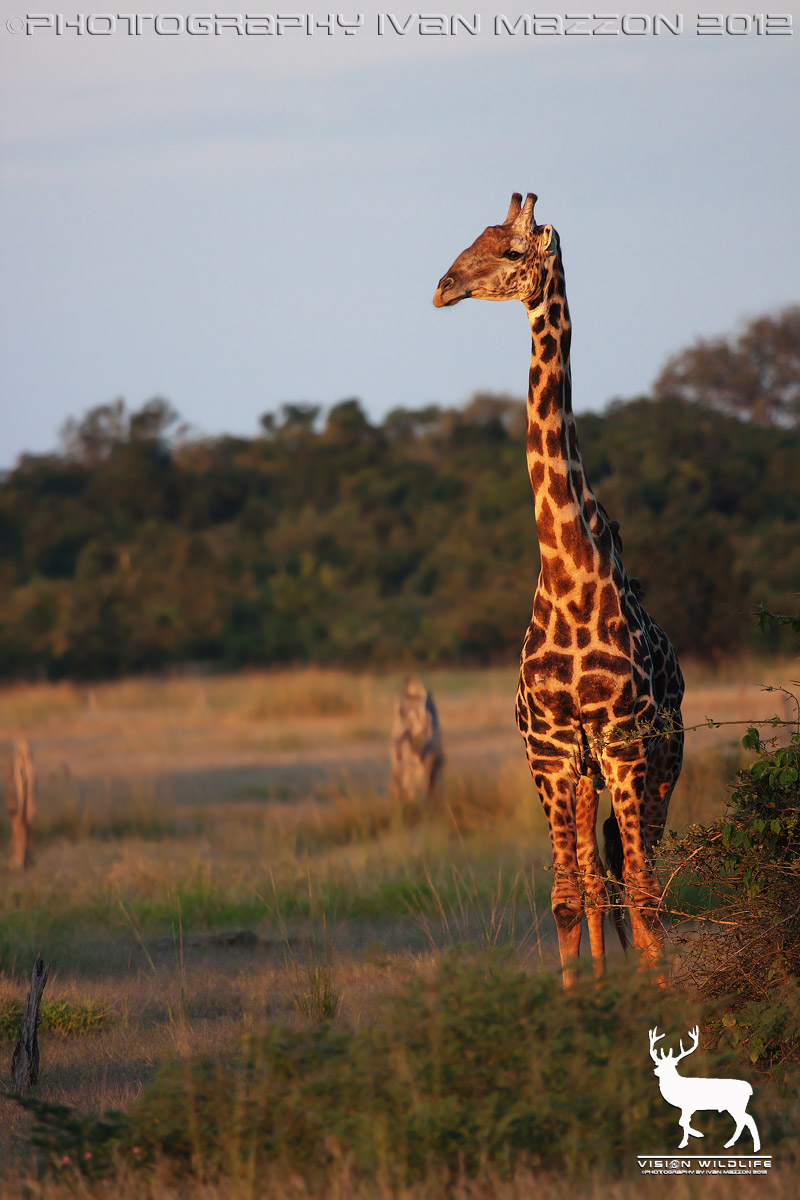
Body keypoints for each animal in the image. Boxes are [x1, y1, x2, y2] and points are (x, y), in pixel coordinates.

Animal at [433, 192, 684, 986]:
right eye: (472, 240)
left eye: (514, 251)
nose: (443, 287)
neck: (569, 568)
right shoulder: (548, 749)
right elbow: (568, 897)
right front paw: (580, 998)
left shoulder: (624, 742)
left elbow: (644, 892)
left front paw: (665, 999)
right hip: (582, 773)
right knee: (596, 878)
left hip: (660, 760)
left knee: (636, 874)